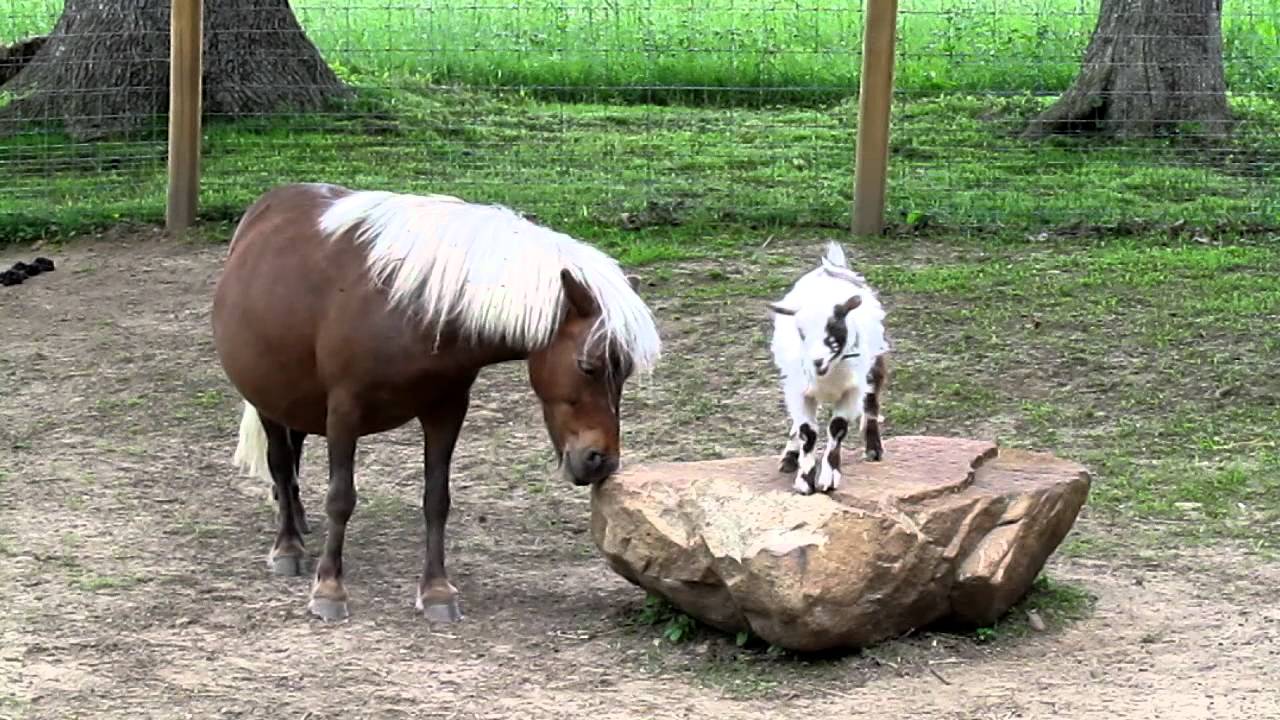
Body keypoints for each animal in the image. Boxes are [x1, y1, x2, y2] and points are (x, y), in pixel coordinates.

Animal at [211, 182, 662, 622]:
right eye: (588, 366)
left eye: (624, 372)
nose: (601, 461)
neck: (409, 307)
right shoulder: (343, 412)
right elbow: (340, 498)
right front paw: (329, 588)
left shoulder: (445, 410)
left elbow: (436, 500)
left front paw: (436, 592)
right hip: (269, 399)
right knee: (281, 463)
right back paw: (288, 545)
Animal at [767, 241, 890, 495]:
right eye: (801, 332)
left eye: (834, 328)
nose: (816, 361)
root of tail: (832, 266)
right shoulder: (798, 392)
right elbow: (807, 431)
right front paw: (804, 480)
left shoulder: (852, 391)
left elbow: (837, 427)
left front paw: (829, 477)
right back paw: (789, 457)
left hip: (875, 364)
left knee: (872, 403)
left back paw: (873, 449)